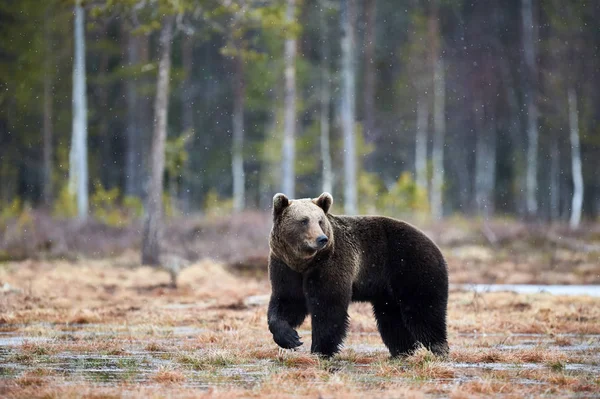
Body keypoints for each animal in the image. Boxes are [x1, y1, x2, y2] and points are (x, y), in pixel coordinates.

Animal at [268, 192, 450, 358]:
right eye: (304, 220)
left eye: (320, 221)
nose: (321, 239)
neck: (304, 263)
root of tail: (434, 245)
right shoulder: (285, 267)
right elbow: (288, 301)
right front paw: (290, 338)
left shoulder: (330, 264)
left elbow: (328, 306)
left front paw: (320, 350)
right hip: (388, 290)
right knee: (391, 318)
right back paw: (403, 351)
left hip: (412, 268)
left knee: (423, 311)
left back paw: (438, 349)